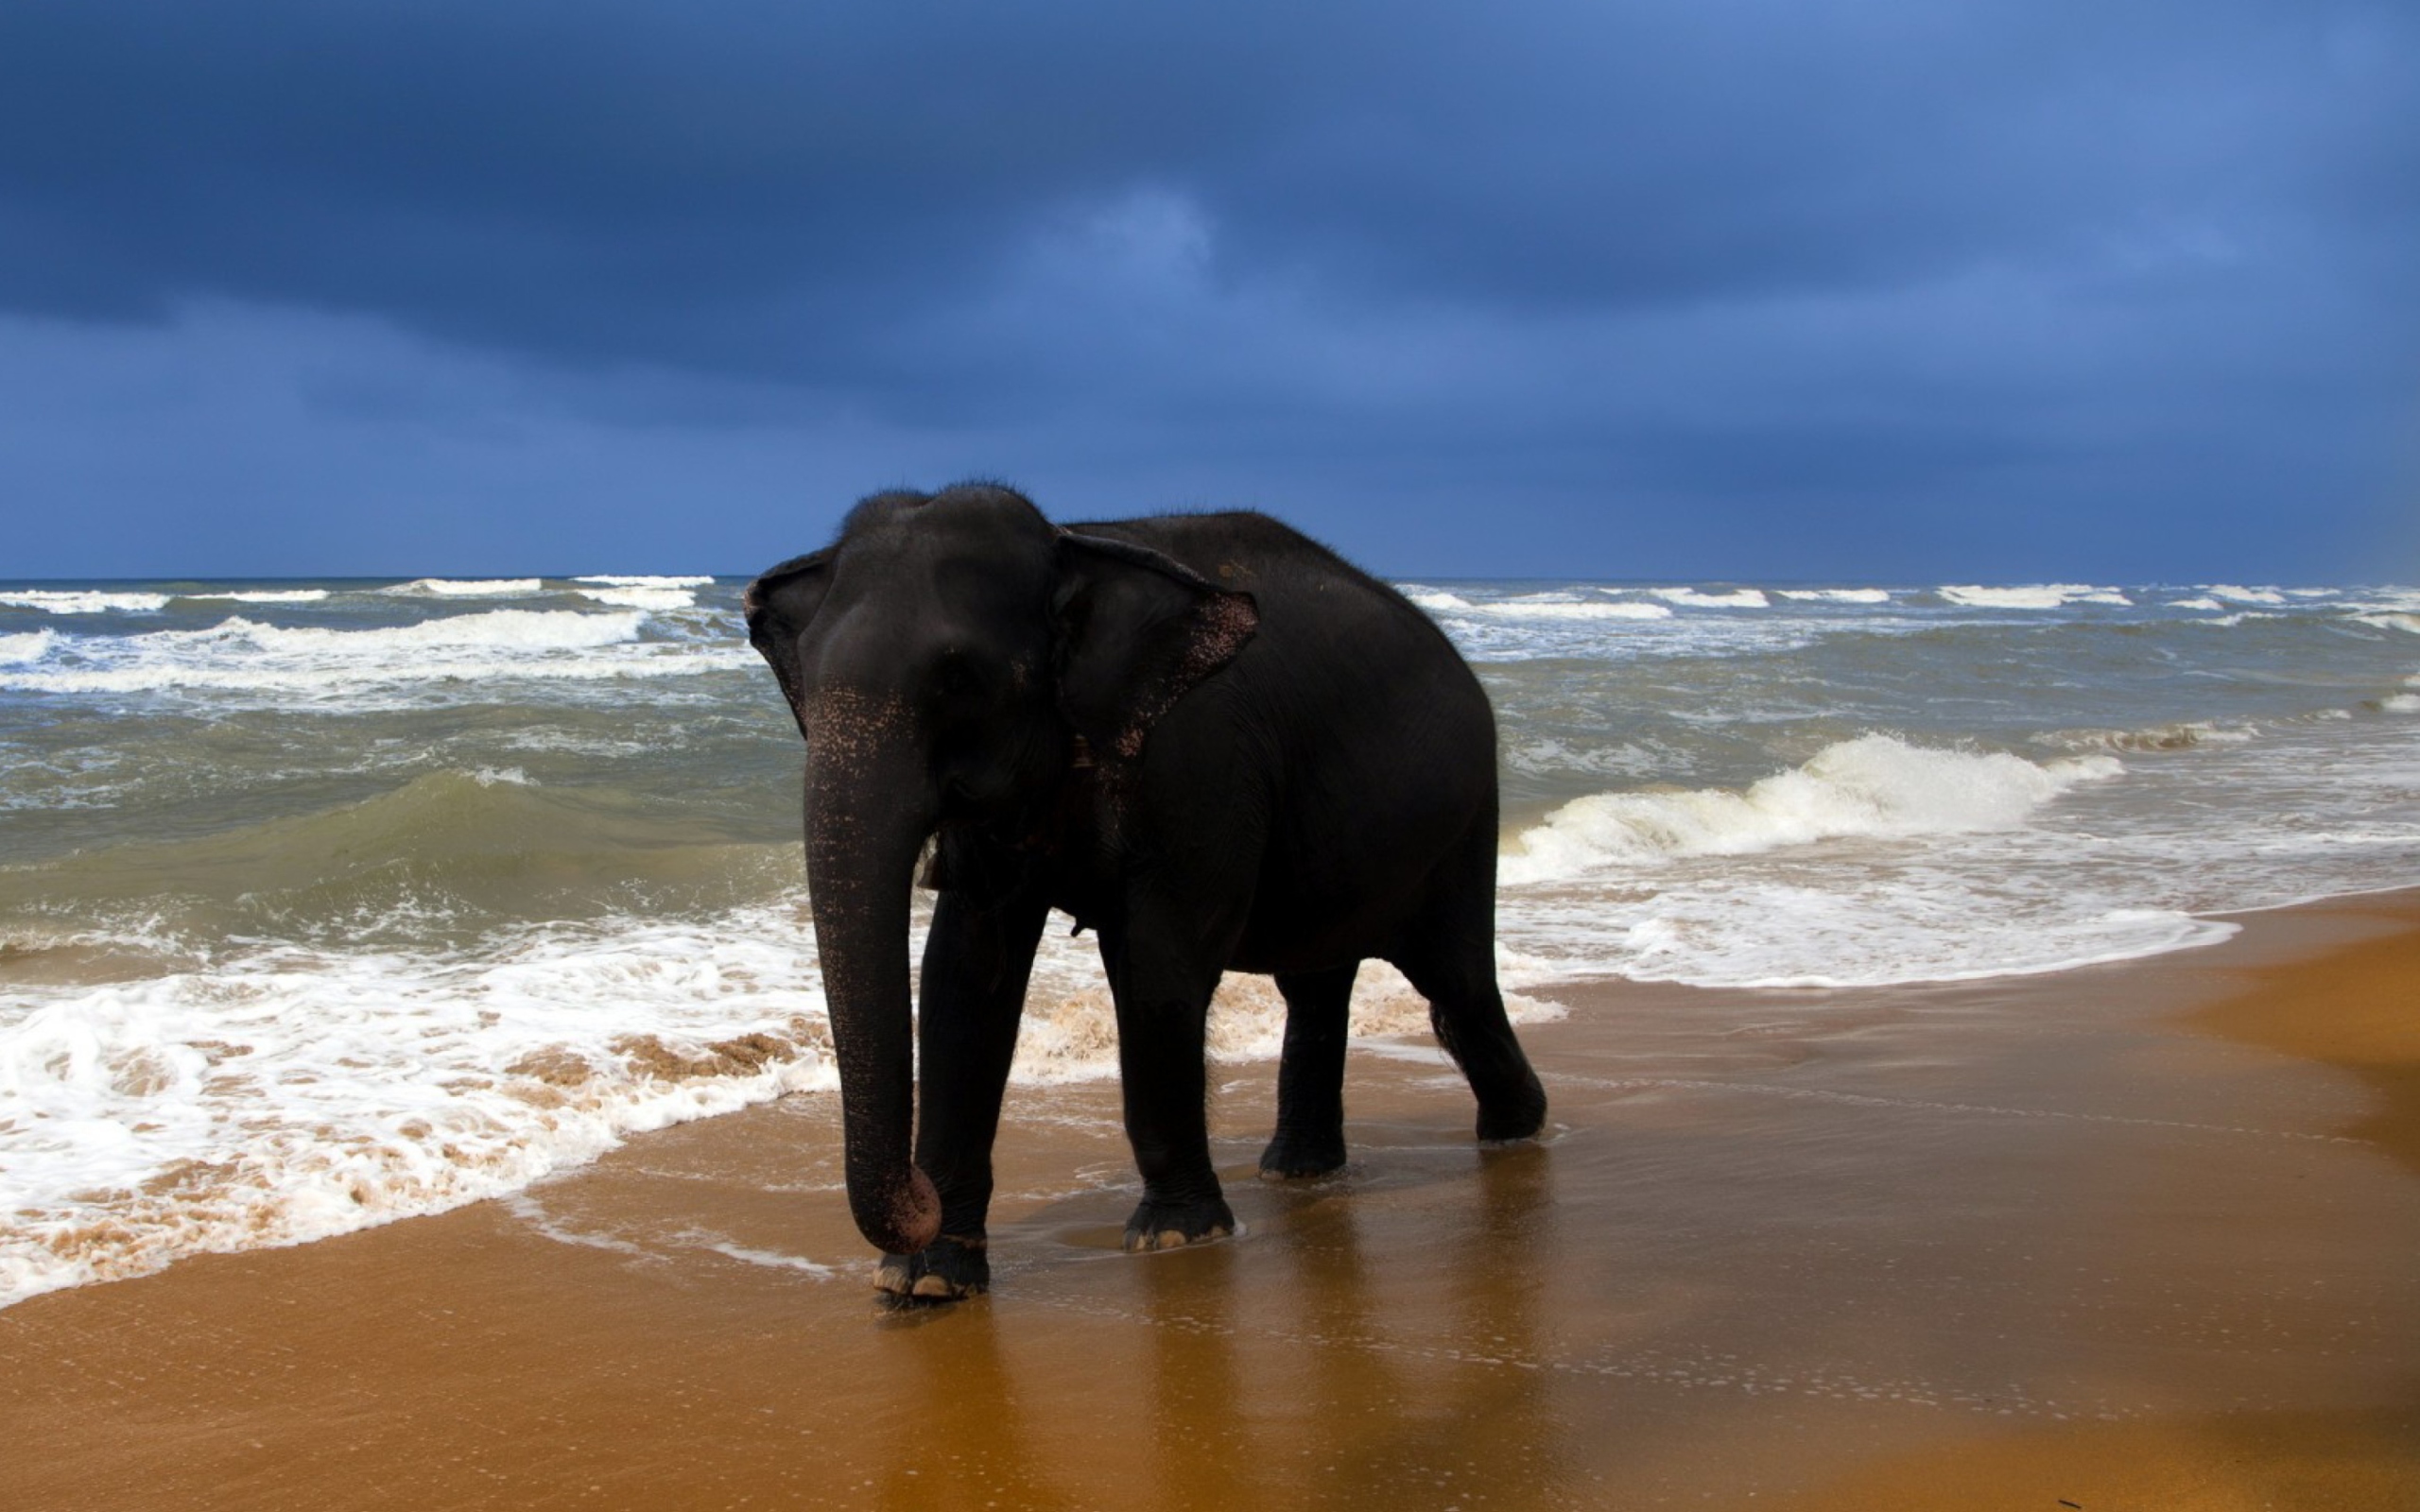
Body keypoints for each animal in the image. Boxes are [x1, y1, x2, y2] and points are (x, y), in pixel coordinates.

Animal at [740, 484, 1548, 1297]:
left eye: (957, 677)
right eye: (805, 679)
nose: (919, 1194)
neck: (1073, 545)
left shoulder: (1200, 762)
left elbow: (1158, 969)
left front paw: (1176, 1236)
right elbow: (962, 976)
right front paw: (925, 1283)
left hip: (1462, 821)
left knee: (1455, 985)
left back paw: (1516, 1134)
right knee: (1319, 983)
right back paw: (1298, 1170)